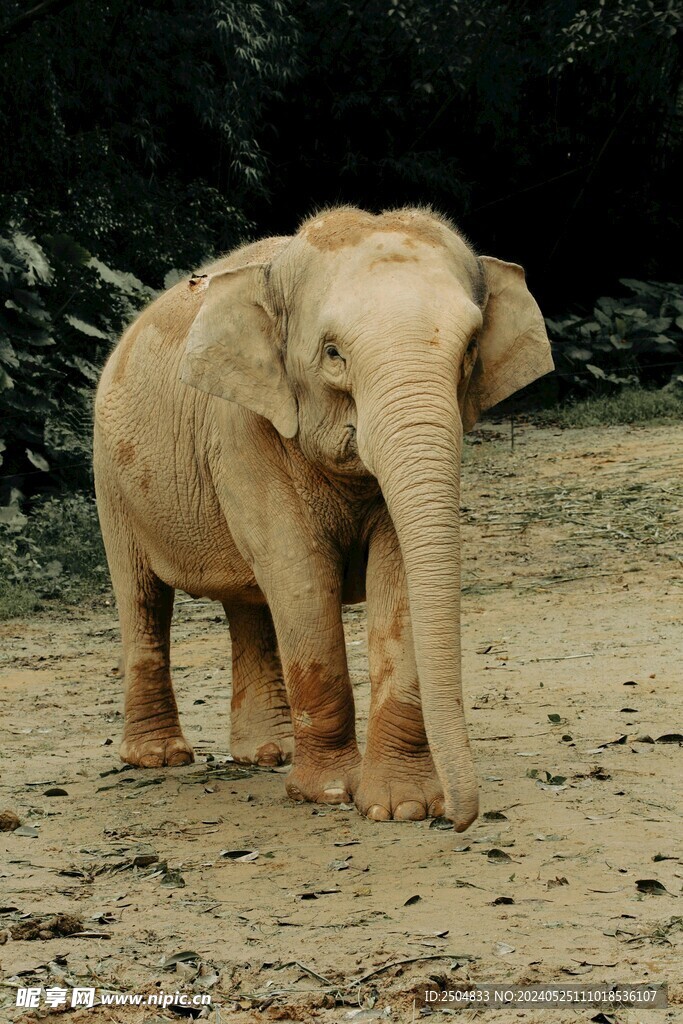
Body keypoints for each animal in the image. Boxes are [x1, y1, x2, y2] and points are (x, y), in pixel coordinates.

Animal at [93, 206, 553, 831]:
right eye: (333, 353)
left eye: (470, 349)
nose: (459, 821)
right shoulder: (242, 426)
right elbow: (302, 576)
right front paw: (330, 793)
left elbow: (396, 577)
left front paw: (401, 806)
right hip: (111, 479)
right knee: (142, 598)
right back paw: (159, 758)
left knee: (248, 603)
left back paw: (269, 754)